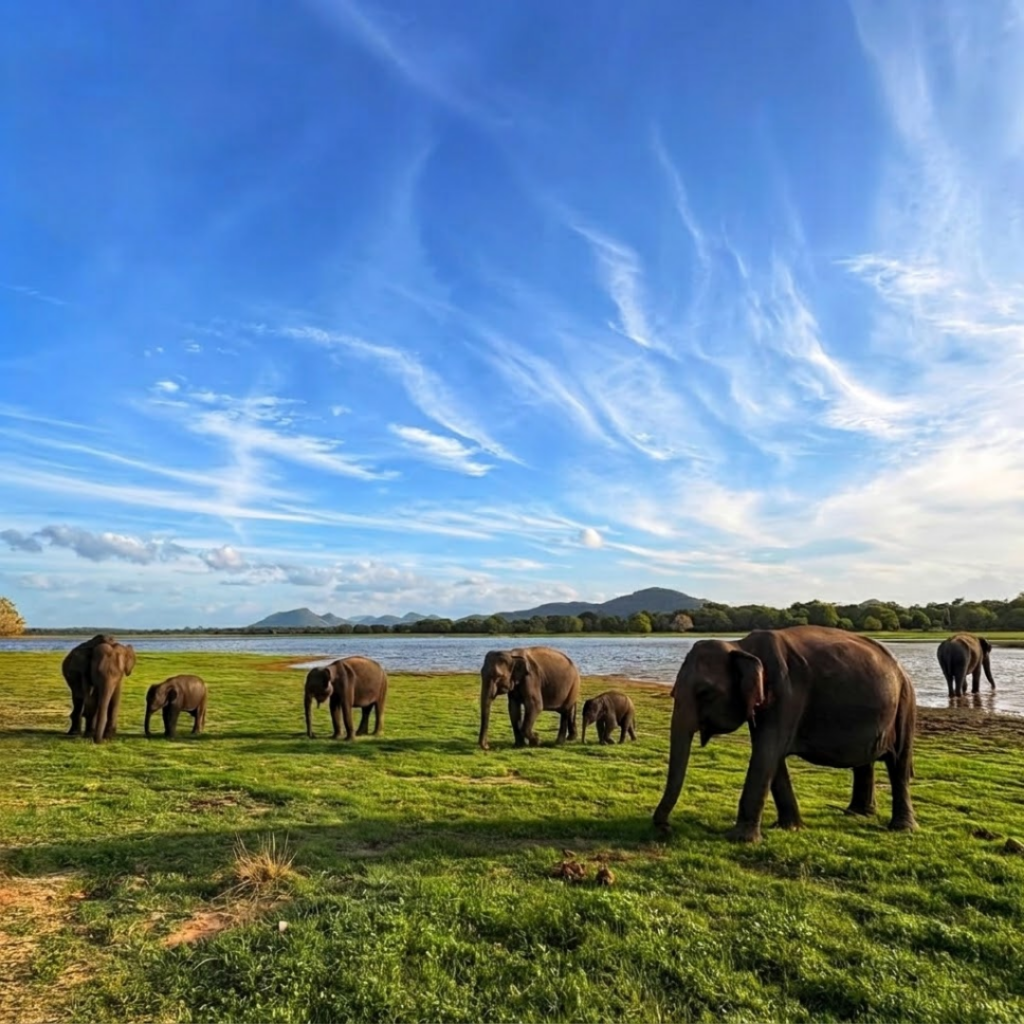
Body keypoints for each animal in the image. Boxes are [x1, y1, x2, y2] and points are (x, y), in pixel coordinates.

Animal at [652, 625, 917, 843]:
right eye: (673, 692)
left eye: (705, 693)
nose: (665, 828)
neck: (741, 646)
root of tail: (901, 669)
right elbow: (772, 756)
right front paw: (789, 827)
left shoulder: (786, 694)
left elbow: (766, 752)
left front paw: (740, 839)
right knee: (865, 761)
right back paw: (858, 814)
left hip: (905, 703)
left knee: (899, 763)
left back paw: (901, 828)